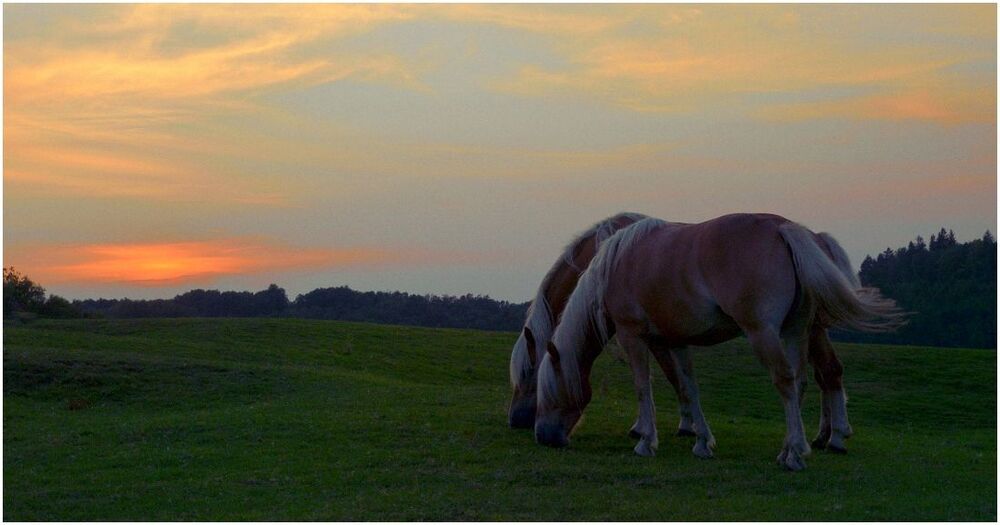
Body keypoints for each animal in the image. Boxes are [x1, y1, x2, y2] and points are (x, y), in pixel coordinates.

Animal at [534, 214, 905, 470]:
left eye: (547, 392)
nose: (542, 437)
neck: (615, 263)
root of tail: (784, 228)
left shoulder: (632, 335)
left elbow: (643, 386)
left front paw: (646, 441)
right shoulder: (676, 340)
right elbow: (688, 387)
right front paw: (701, 441)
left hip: (764, 333)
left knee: (788, 382)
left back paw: (797, 453)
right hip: (795, 332)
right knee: (802, 381)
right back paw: (795, 445)